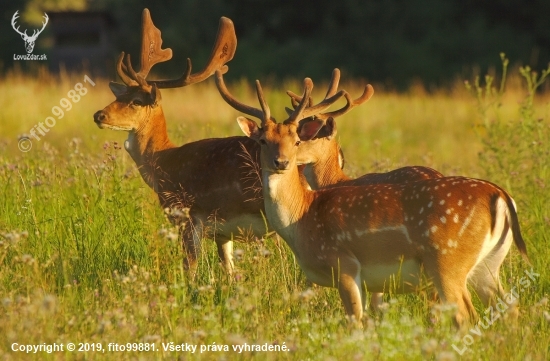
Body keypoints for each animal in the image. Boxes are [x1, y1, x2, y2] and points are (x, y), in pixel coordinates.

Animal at [218, 69, 532, 324]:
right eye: (262, 140)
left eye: (297, 140)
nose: (282, 162)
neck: (302, 218)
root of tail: (500, 195)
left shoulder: (344, 265)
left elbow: (356, 321)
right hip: (488, 265)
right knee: (508, 307)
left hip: (447, 262)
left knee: (465, 315)